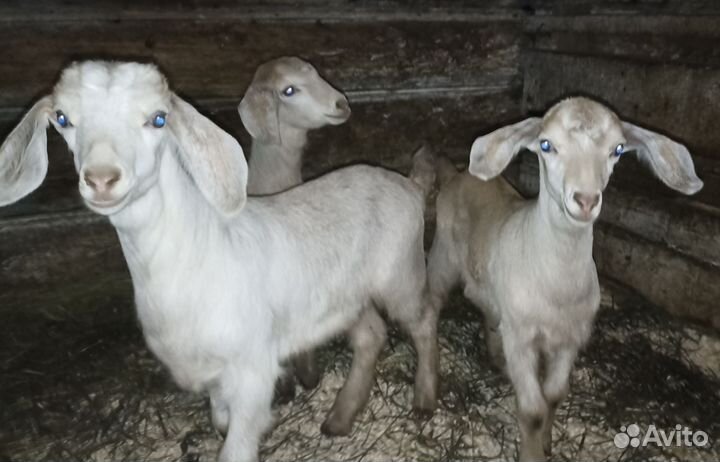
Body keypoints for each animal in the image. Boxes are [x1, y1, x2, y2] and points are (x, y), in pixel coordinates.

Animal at [426, 97, 702, 461]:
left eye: (617, 149)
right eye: (546, 145)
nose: (585, 200)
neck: (557, 284)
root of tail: (457, 175)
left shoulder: (571, 337)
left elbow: (555, 395)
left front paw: (546, 442)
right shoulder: (523, 338)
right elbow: (532, 410)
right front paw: (532, 453)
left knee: (487, 309)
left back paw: (496, 359)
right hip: (443, 254)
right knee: (432, 304)